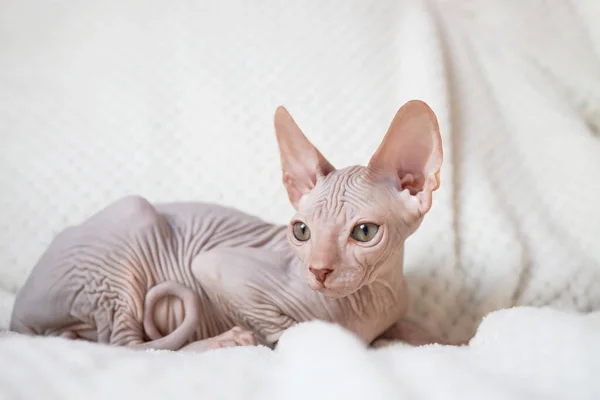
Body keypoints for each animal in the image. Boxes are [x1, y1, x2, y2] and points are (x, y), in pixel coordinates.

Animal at [10, 99, 446, 350]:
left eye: (364, 232)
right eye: (301, 231)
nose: (318, 271)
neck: (371, 302)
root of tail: (16, 314)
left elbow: (422, 333)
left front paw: (442, 339)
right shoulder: (217, 266)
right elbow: (291, 328)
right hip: (126, 235)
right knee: (127, 345)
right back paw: (224, 340)